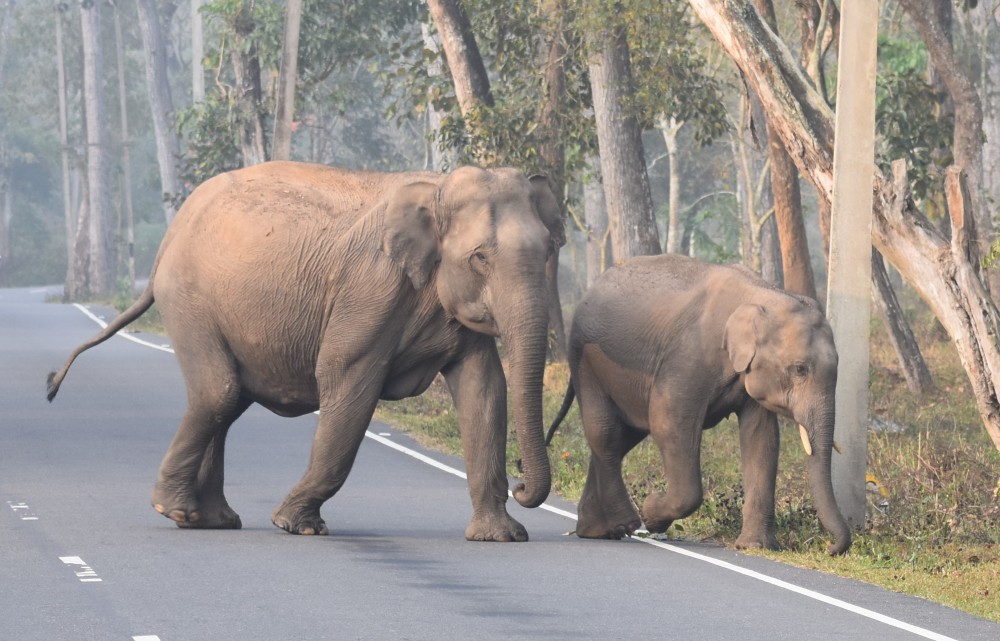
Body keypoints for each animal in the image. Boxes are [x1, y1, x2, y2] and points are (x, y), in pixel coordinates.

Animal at [48, 160, 564, 540]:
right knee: (218, 392)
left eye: (548, 251)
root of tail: (169, 238)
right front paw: (297, 525)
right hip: (190, 301)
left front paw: (501, 536)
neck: (434, 188)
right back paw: (177, 512)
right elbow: (345, 380)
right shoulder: (370, 290)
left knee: (226, 402)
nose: (521, 482)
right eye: (480, 257)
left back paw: (211, 520)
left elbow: (484, 390)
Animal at [548, 255, 852, 556]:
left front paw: (755, 546)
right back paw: (624, 524)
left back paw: (596, 530)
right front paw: (650, 514)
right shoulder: (688, 358)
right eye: (800, 369)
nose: (829, 548)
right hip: (586, 361)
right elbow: (667, 422)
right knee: (606, 433)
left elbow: (762, 438)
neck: (761, 294)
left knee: (621, 438)